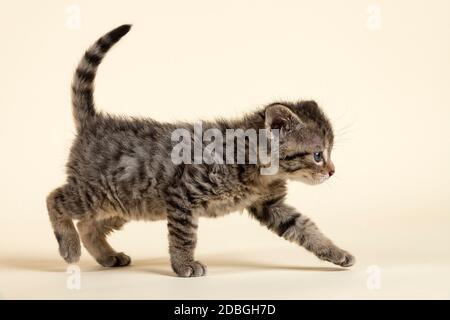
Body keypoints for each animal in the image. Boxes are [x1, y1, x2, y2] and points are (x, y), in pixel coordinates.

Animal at [46, 23, 356, 276]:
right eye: (318, 155)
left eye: (329, 153)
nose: (332, 171)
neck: (257, 166)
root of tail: (94, 121)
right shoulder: (182, 193)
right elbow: (184, 235)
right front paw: (184, 265)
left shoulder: (271, 205)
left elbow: (306, 228)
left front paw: (336, 252)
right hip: (100, 192)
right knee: (55, 199)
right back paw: (69, 246)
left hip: (125, 204)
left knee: (88, 225)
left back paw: (107, 256)